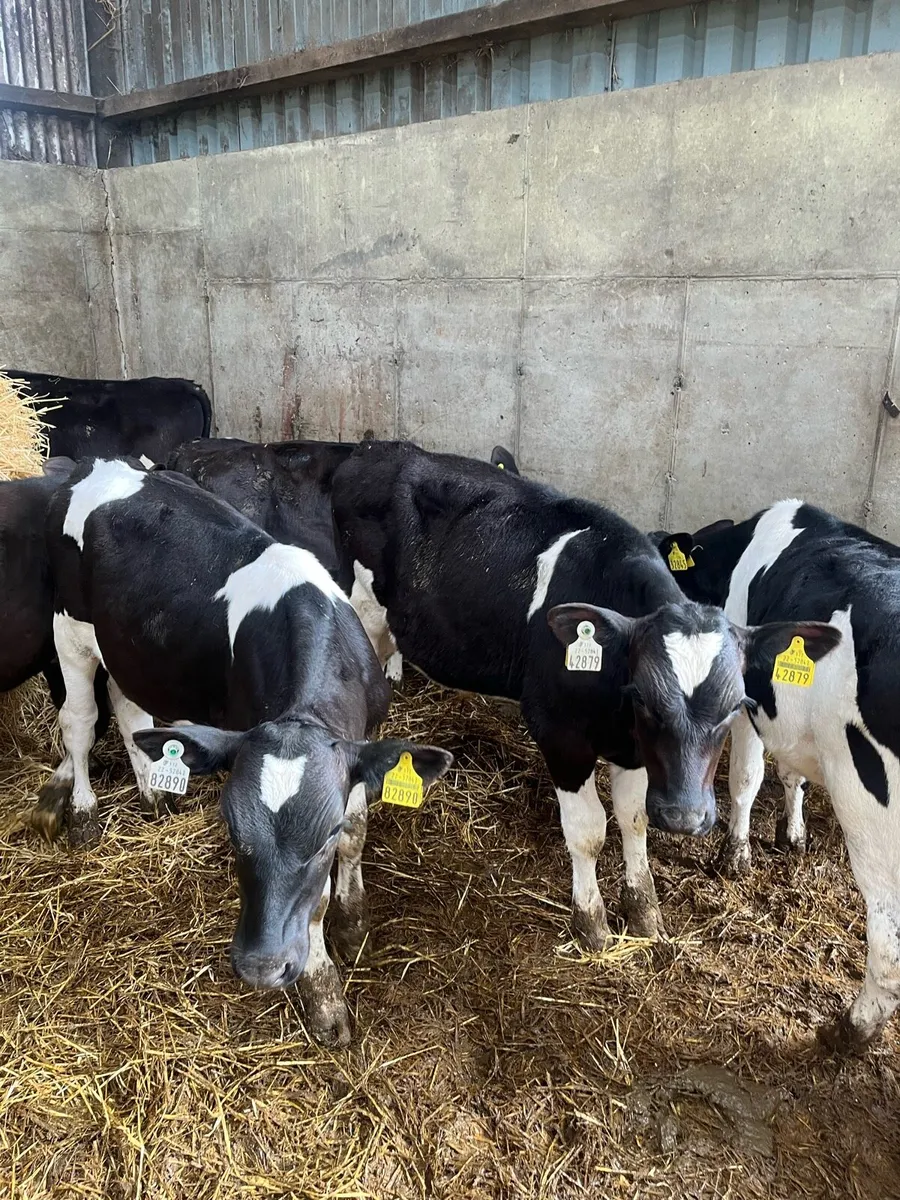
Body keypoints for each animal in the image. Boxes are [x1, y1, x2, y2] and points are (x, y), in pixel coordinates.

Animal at [46, 457, 453, 1044]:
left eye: (324, 833)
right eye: (231, 828)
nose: (260, 967)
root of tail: (98, 462)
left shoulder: (358, 745)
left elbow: (356, 834)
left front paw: (353, 923)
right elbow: (312, 907)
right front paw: (324, 995)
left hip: (131, 644)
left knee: (128, 705)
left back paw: (153, 790)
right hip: (69, 629)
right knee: (79, 723)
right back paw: (83, 812)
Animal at [330, 441, 839, 953]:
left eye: (734, 707)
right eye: (644, 699)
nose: (684, 816)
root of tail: (375, 449)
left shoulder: (634, 748)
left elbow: (634, 820)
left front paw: (644, 911)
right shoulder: (561, 735)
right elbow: (589, 831)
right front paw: (592, 922)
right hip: (361, 618)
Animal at [655, 500, 900, 1049]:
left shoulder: (745, 702)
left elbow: (746, 779)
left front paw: (735, 855)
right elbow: (791, 776)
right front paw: (793, 834)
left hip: (874, 815)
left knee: (888, 940)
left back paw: (854, 1027)